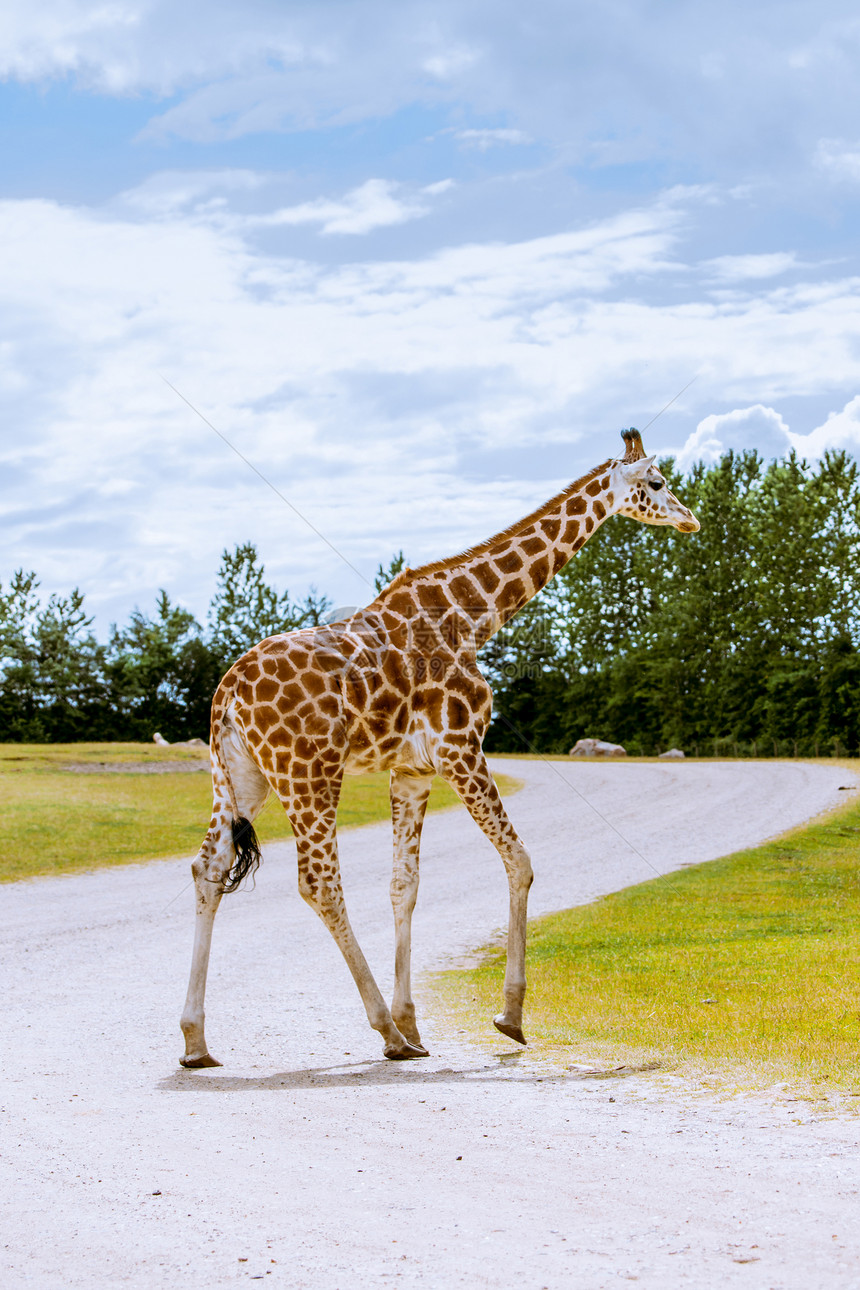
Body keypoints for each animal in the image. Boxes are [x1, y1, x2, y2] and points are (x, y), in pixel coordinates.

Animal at [180, 428, 701, 1062]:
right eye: (657, 482)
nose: (691, 520)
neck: (475, 618)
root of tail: (226, 694)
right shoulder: (460, 746)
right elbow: (520, 860)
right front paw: (508, 1016)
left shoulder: (413, 770)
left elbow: (405, 886)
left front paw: (416, 1022)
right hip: (310, 772)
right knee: (319, 883)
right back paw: (384, 1031)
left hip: (240, 776)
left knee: (208, 866)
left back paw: (196, 1040)